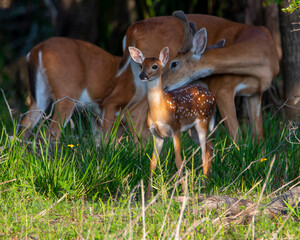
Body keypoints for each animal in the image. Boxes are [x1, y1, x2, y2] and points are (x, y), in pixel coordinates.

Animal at [120, 10, 280, 142]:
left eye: (174, 63)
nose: (162, 81)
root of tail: (132, 30)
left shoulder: (255, 94)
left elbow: (259, 135)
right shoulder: (222, 87)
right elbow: (236, 133)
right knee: (133, 112)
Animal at [128, 46, 216, 200]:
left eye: (155, 66)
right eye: (141, 65)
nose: (142, 75)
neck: (160, 111)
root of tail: (212, 96)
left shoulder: (175, 128)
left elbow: (178, 160)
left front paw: (184, 192)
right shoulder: (156, 135)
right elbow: (153, 163)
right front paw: (148, 196)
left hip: (203, 121)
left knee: (204, 152)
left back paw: (204, 187)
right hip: (192, 130)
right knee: (209, 148)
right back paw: (206, 183)